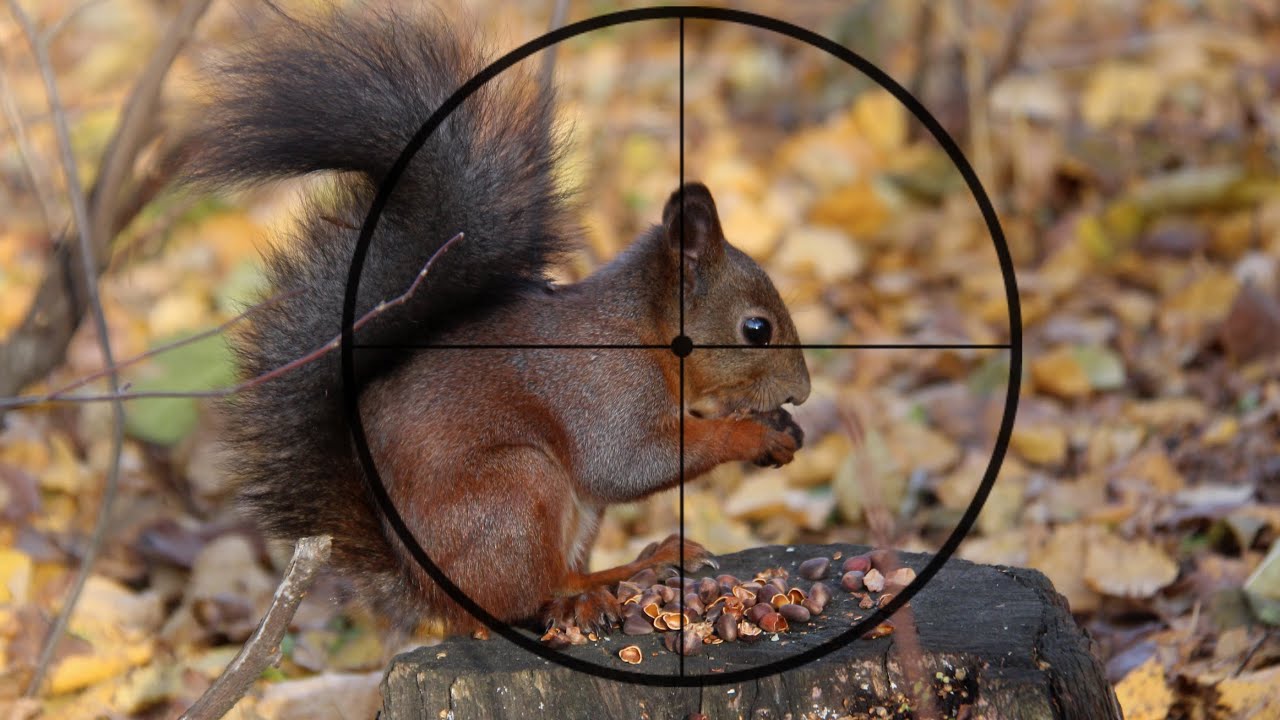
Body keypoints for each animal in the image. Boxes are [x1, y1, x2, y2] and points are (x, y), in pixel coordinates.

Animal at [183, 8, 811, 635]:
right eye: (757, 330)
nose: (802, 393)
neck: (645, 333)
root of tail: (432, 598)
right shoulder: (603, 392)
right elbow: (628, 464)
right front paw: (752, 433)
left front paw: (779, 425)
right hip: (517, 490)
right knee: (535, 590)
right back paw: (607, 584)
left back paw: (641, 565)